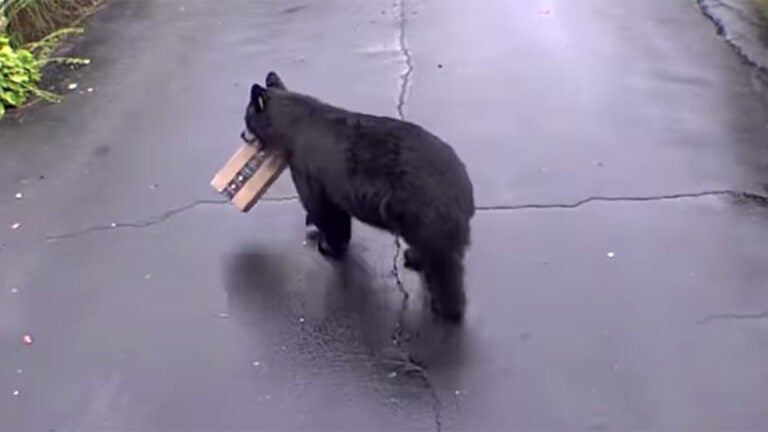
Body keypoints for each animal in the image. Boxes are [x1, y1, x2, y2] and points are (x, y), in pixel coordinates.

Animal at [241, 71, 475, 322]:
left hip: (424, 211)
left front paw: (328, 245)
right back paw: (414, 256)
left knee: (442, 263)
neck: (295, 126)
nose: (242, 135)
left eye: (246, 117)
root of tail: (463, 189)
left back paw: (446, 308)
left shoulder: (309, 167)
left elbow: (324, 209)